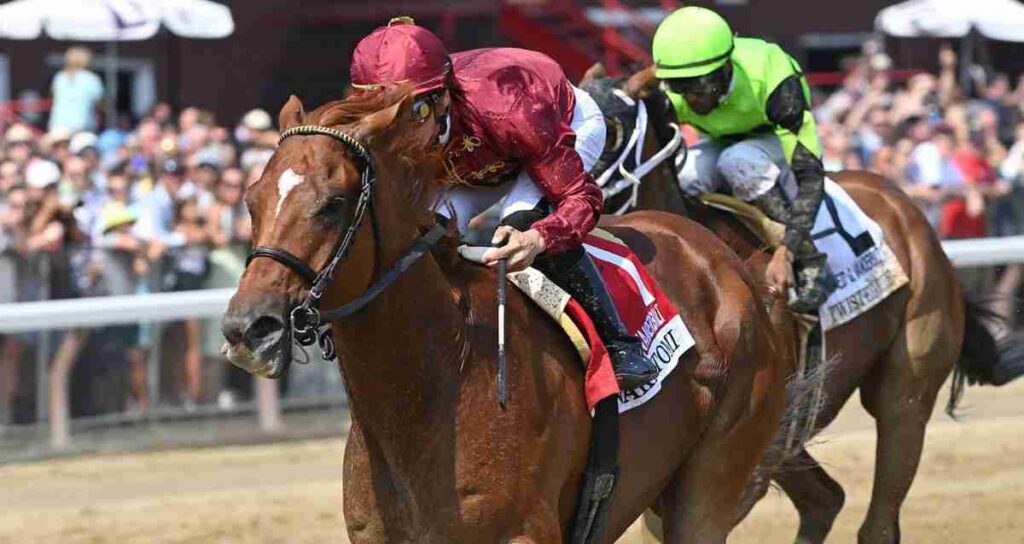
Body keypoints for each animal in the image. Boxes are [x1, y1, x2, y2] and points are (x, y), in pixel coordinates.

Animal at [220, 87, 786, 540]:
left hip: (710, 482)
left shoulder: (523, 532)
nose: (248, 329)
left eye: (334, 203)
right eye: (251, 200)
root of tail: (722, 257)